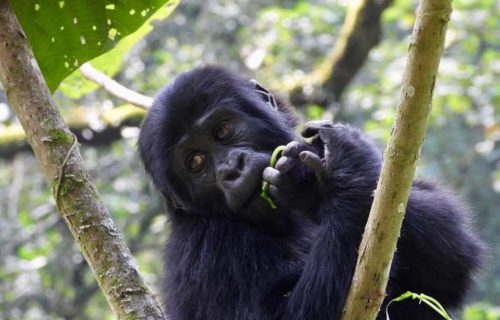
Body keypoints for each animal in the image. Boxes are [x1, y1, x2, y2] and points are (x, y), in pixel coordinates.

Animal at [139, 66, 482, 318]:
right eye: (195, 162)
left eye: (223, 130)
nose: (231, 170)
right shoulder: (206, 249)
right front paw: (345, 174)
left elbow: (451, 264)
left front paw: (313, 189)